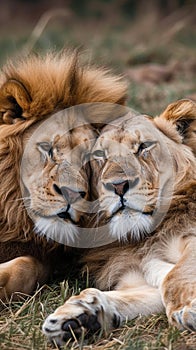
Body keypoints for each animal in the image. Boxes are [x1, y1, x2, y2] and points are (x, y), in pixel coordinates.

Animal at [43, 99, 196, 348]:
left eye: (144, 146)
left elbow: (175, 274)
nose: (118, 185)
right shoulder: (133, 275)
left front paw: (187, 308)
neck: (142, 236)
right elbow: (134, 294)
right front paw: (77, 316)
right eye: (100, 154)